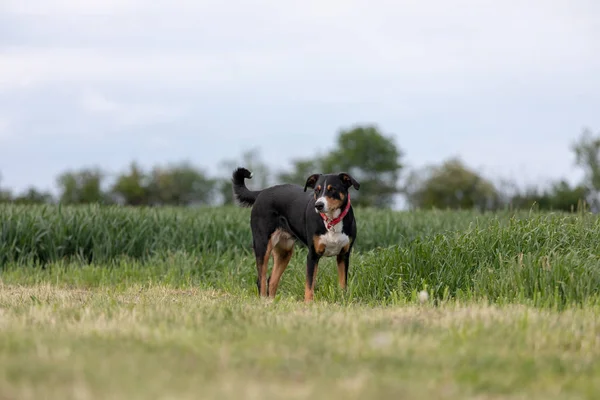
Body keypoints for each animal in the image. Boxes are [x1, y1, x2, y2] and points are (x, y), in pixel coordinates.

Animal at [232, 167, 358, 302]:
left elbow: (343, 284)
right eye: (316, 190)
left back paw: (271, 302)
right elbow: (309, 285)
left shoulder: (344, 255)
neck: (331, 221)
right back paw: (264, 301)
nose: (318, 205)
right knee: (261, 280)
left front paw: (343, 300)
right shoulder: (312, 255)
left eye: (332, 189)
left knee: (271, 281)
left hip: (284, 251)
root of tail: (262, 192)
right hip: (263, 245)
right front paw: (308, 304)